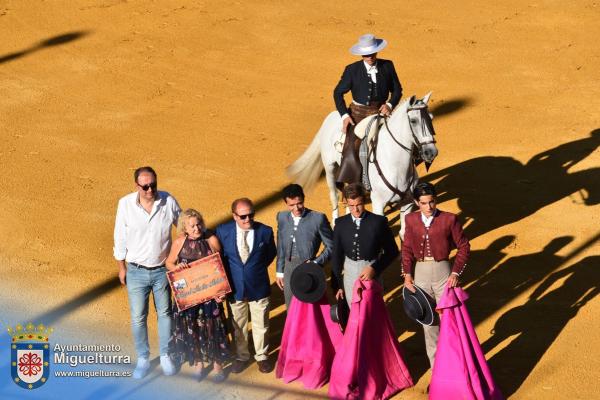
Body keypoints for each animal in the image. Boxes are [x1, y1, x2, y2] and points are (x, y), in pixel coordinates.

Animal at [286, 94, 436, 238]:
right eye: (414, 121)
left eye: (431, 118)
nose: (431, 152)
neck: (397, 166)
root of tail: (331, 116)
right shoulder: (378, 203)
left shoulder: (407, 203)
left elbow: (403, 233)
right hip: (330, 168)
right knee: (334, 195)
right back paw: (335, 222)